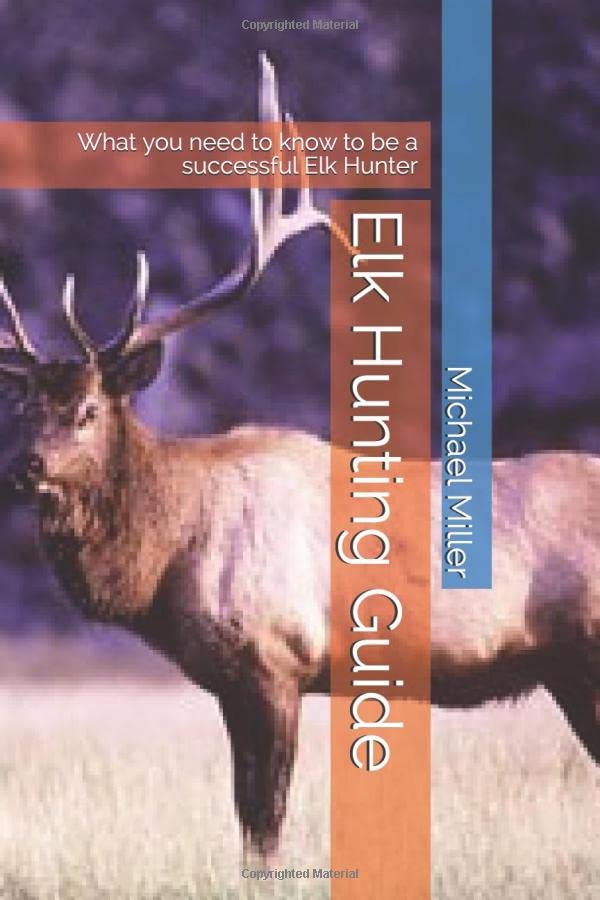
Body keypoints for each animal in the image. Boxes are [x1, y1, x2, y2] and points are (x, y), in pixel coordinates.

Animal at [0, 54, 598, 863]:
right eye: (20, 407)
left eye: (88, 410)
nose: (24, 466)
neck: (168, 554)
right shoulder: (235, 680)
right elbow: (248, 815)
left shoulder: (275, 660)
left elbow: (265, 816)